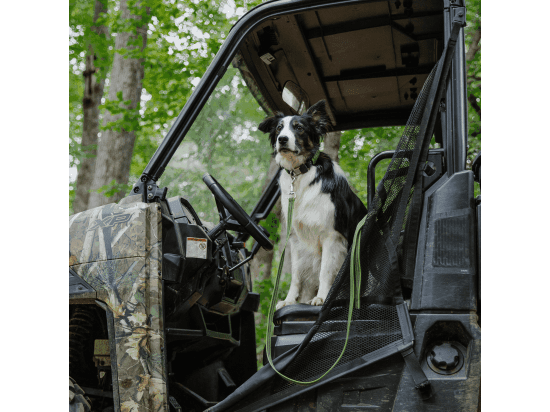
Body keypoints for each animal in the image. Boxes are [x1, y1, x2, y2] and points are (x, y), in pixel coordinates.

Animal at [260, 100, 370, 308]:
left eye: (299, 128)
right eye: (279, 128)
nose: (282, 139)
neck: (299, 173)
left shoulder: (331, 236)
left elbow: (325, 271)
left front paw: (322, 297)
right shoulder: (295, 239)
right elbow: (295, 275)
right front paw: (289, 300)